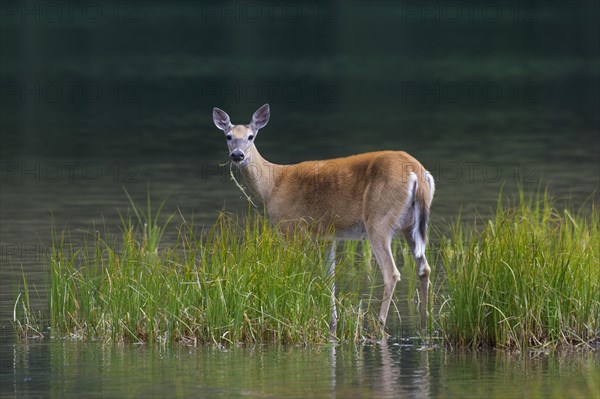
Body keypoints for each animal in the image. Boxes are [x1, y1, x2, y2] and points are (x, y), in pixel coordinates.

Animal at [213, 104, 434, 336]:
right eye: (228, 136)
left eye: (251, 136)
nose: (237, 155)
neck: (272, 185)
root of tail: (417, 171)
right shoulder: (328, 236)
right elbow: (330, 278)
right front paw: (332, 323)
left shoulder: (291, 228)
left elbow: (294, 273)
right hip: (410, 225)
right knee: (424, 268)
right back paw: (424, 325)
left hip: (378, 220)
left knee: (391, 273)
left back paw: (379, 326)